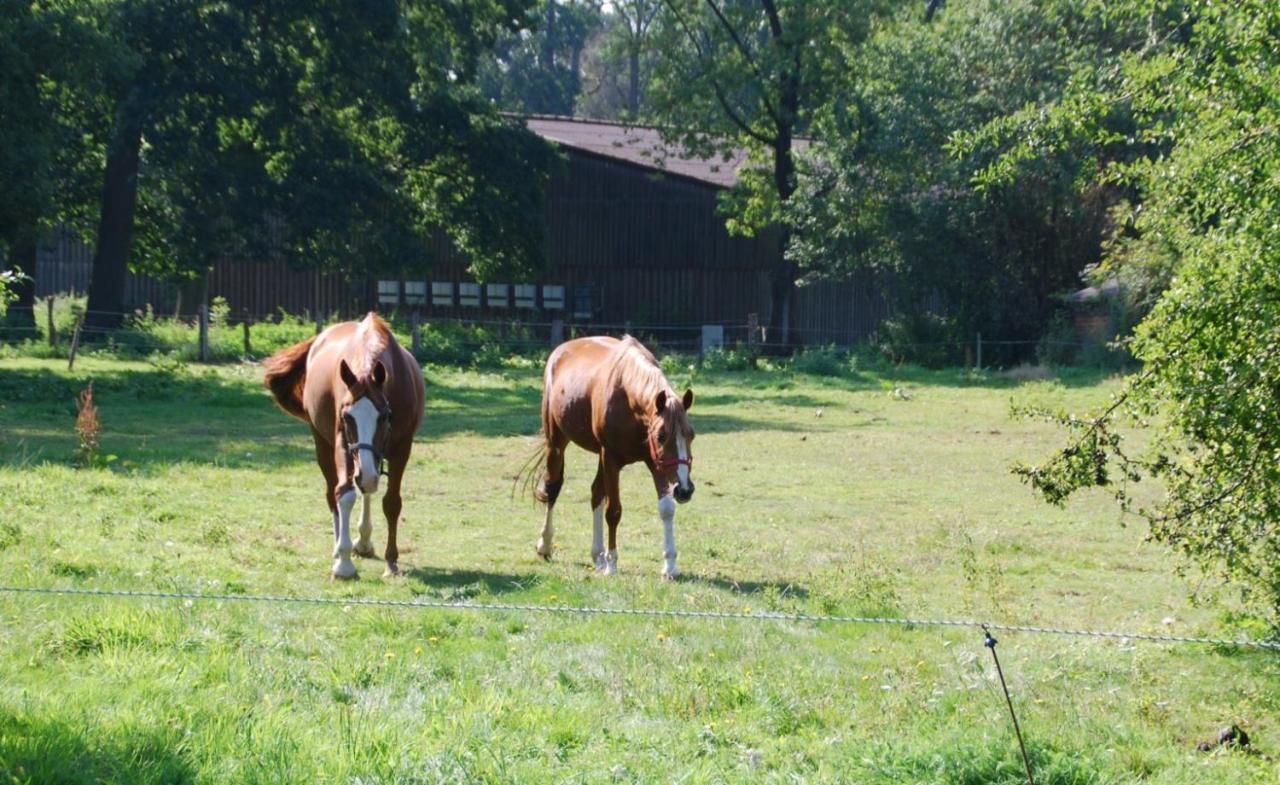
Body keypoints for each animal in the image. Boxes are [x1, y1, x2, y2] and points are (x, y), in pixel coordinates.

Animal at [263, 311, 424, 576]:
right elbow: (344, 494)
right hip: (323, 443)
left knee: (368, 487)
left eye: (385, 416)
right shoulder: (343, 444)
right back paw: (339, 548)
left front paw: (391, 562)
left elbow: (391, 502)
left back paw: (364, 542)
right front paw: (344, 564)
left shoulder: (402, 446)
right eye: (347, 417)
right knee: (334, 494)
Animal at [532, 332, 701, 578]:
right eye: (661, 436)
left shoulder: (655, 462)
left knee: (595, 493)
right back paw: (545, 545)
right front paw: (612, 563)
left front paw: (670, 565)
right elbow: (613, 511)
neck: (629, 399)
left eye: (691, 434)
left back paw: (597, 555)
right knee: (552, 489)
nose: (685, 490)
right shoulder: (611, 458)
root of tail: (560, 351)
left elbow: (667, 509)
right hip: (556, 444)